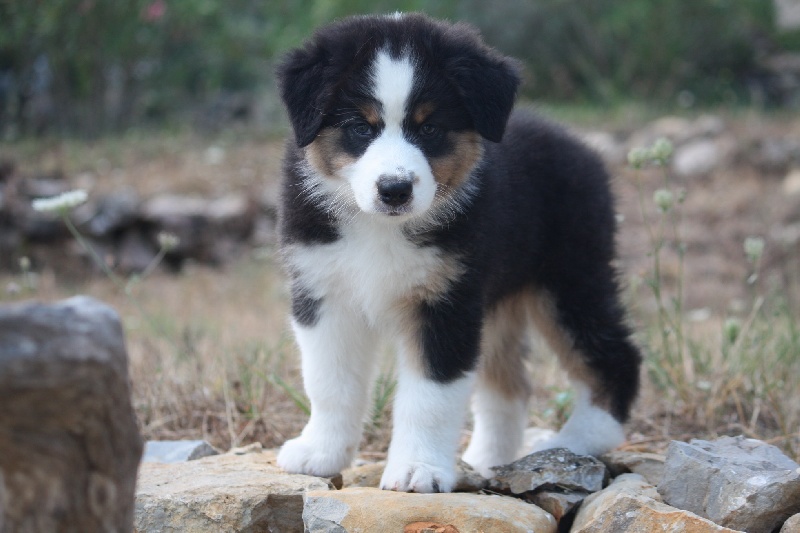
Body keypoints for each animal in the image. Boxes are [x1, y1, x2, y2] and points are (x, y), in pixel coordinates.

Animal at [275, 12, 641, 493]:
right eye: (360, 127)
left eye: (429, 128)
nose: (395, 189)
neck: (382, 229)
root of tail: (580, 147)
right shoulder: (324, 293)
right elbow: (329, 382)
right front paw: (320, 453)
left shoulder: (447, 302)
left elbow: (430, 396)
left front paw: (418, 470)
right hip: (504, 299)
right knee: (510, 386)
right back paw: (488, 461)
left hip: (571, 277)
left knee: (615, 357)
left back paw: (571, 444)